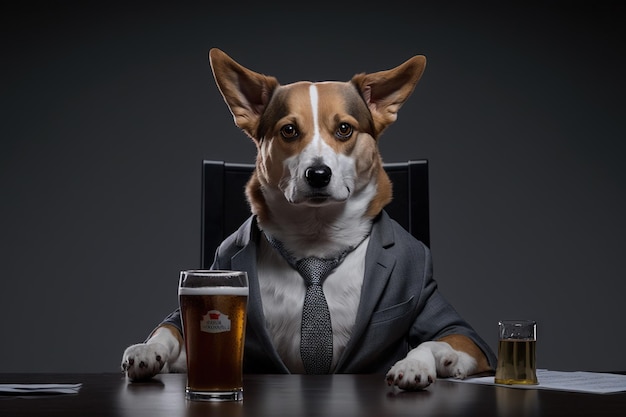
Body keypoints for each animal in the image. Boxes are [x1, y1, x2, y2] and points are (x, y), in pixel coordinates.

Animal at [120, 48, 492, 390]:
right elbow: (171, 331)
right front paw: (145, 350)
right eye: (288, 130)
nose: (318, 174)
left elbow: (436, 340)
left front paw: (419, 364)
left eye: (344, 129)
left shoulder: (461, 332)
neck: (316, 239)